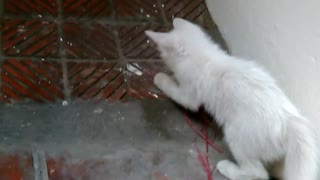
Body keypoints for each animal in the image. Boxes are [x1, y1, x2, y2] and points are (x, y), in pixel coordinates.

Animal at [146, 17, 318, 180]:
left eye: (162, 53)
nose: (162, 60)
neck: (205, 56)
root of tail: (290, 121)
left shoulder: (189, 94)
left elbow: (175, 91)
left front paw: (160, 78)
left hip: (236, 134)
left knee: (258, 173)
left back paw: (228, 168)